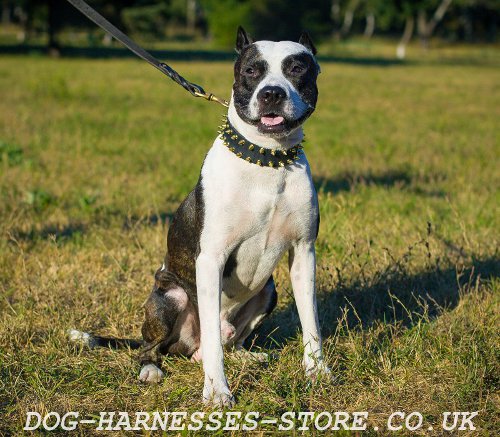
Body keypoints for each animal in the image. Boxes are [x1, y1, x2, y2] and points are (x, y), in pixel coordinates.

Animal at [70, 26, 328, 406]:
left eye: (297, 68)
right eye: (251, 71)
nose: (271, 93)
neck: (268, 158)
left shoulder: (303, 252)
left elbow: (311, 322)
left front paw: (318, 372)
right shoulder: (210, 259)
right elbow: (212, 343)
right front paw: (218, 393)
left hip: (268, 291)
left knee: (228, 341)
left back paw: (248, 356)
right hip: (170, 299)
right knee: (157, 346)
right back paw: (151, 369)